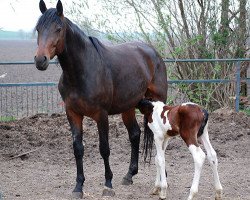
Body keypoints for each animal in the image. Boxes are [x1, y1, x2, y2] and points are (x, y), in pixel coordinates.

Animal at [33, 0, 168, 198]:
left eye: (58, 29)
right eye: (38, 29)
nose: (40, 60)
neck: (82, 72)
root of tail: (153, 52)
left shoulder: (101, 115)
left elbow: (104, 149)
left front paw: (108, 185)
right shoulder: (72, 114)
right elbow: (78, 148)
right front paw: (78, 187)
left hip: (159, 103)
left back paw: (163, 178)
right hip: (128, 107)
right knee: (135, 134)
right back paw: (129, 175)